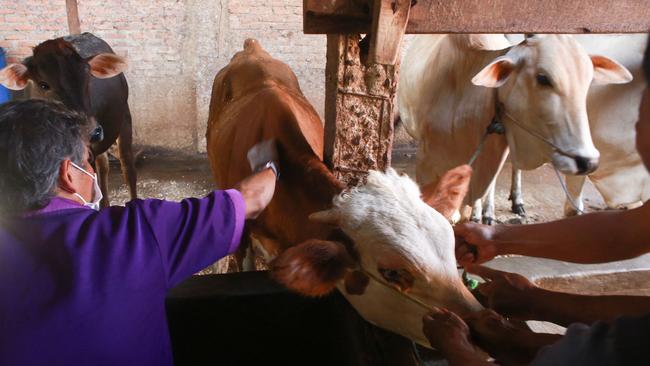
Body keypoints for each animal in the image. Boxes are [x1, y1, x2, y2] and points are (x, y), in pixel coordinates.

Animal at [0, 33, 137, 207]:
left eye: (87, 76)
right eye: (43, 85)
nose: (93, 131)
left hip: (124, 118)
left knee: (127, 166)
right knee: (103, 167)